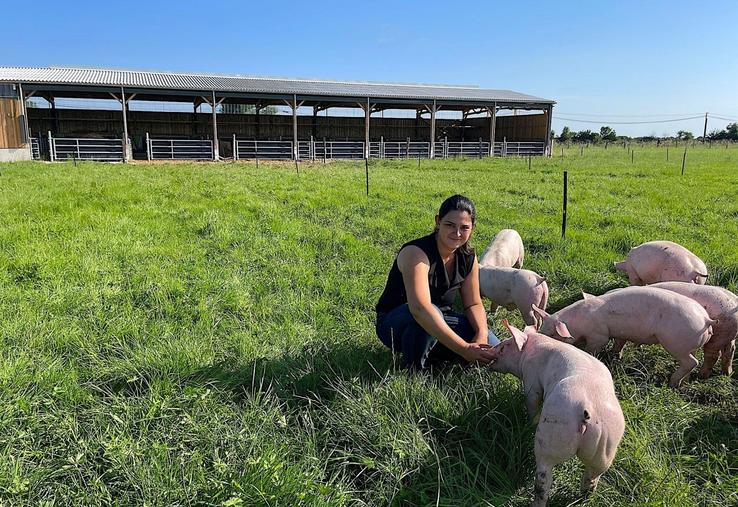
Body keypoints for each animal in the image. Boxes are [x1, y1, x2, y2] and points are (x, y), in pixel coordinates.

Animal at [486, 322, 624, 507]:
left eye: (504, 346)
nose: (491, 348)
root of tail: (587, 411)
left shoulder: (531, 378)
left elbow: (532, 401)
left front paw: (529, 422)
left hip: (551, 436)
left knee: (543, 480)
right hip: (606, 448)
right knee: (592, 478)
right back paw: (582, 499)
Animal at [532, 286, 716, 388]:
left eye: (552, 334)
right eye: (542, 328)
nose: (537, 339)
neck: (579, 322)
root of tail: (706, 319)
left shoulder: (599, 334)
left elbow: (594, 348)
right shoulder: (619, 333)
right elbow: (619, 343)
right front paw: (616, 357)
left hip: (676, 343)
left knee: (692, 362)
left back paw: (671, 383)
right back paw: (682, 384)